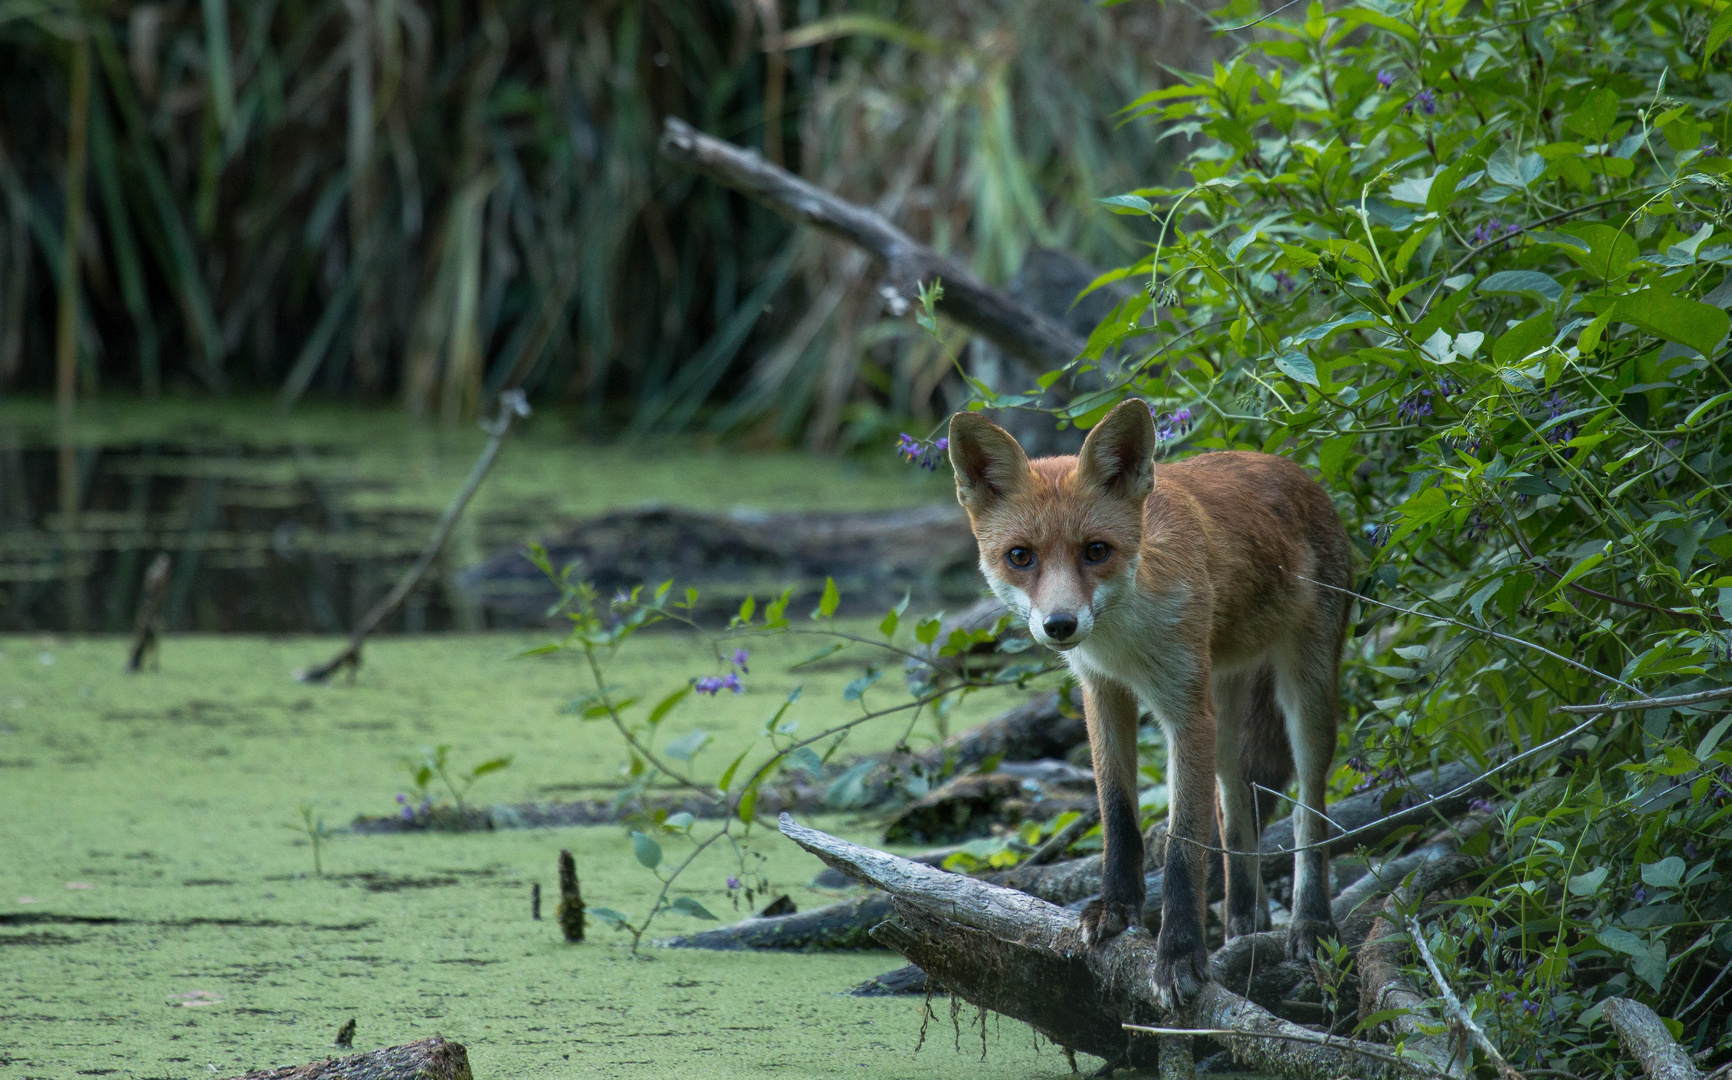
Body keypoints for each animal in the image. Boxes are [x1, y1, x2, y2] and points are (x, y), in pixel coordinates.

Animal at [949, 401, 1350, 1010]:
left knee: (1309, 806)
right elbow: (1119, 815)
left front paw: (1179, 954)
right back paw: (1245, 919)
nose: (1060, 624)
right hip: (1224, 704)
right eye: (1020, 557)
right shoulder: (1102, 693)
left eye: (1096, 551)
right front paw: (1116, 909)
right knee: (1235, 807)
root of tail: (1286, 462)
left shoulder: (1185, 713)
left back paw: (1310, 922)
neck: (1124, 642)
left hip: (1304, 694)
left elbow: (1184, 844)